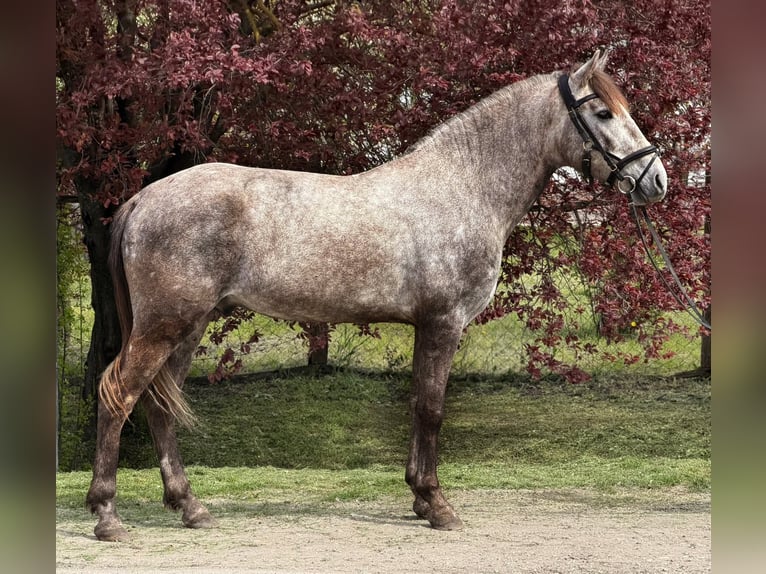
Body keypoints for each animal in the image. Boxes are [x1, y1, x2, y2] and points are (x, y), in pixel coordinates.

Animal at [86, 49, 667, 541]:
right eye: (603, 112)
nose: (656, 179)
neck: (464, 187)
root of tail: (143, 198)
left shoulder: (426, 326)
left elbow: (416, 405)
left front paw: (419, 498)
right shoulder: (443, 322)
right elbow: (432, 408)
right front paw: (439, 506)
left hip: (188, 326)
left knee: (157, 406)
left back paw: (191, 507)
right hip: (164, 324)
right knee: (118, 394)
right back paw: (108, 516)